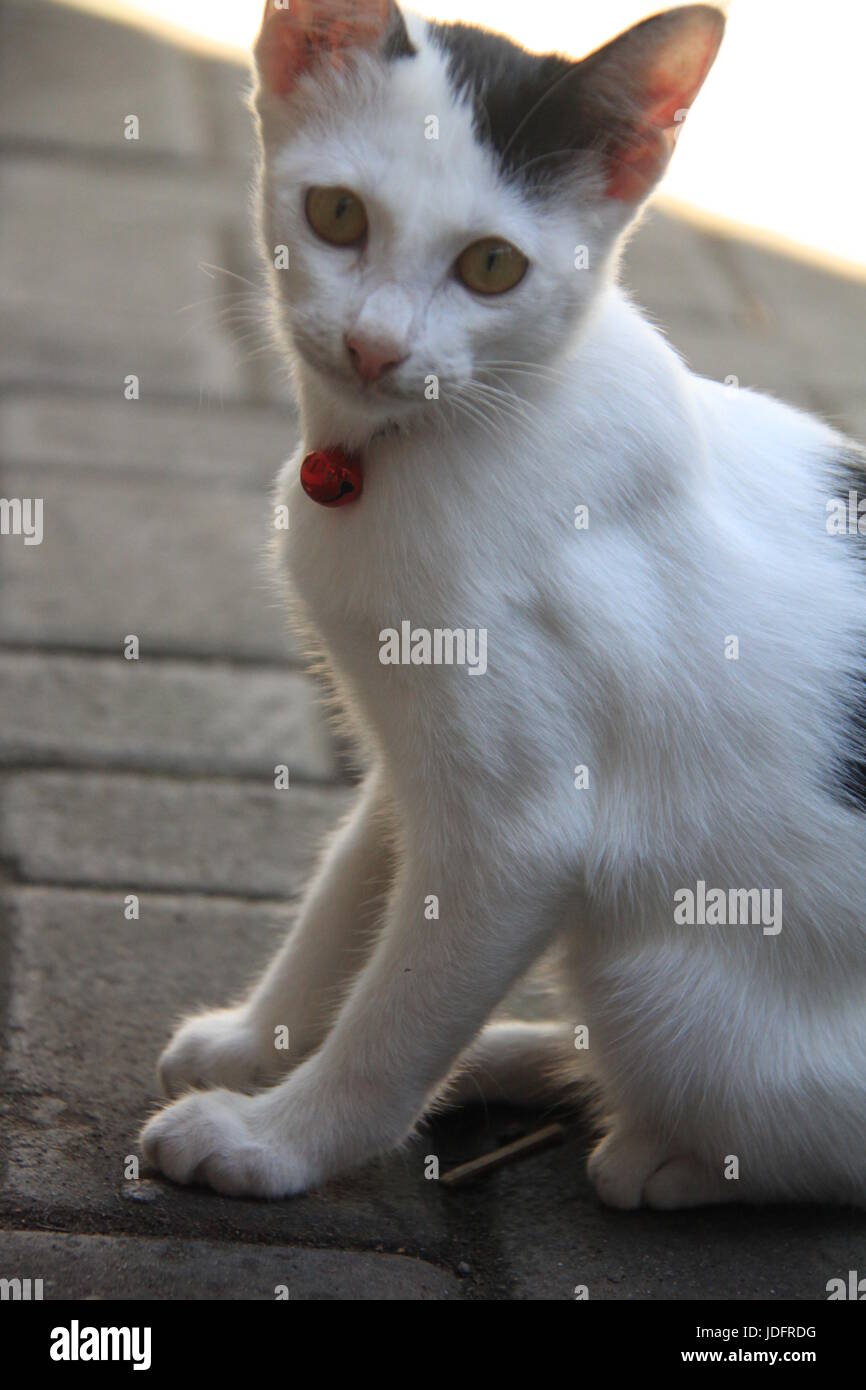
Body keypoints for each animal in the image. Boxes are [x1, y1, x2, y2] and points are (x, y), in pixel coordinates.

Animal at [140, 0, 866, 1212]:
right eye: (336, 214)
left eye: (491, 267)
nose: (375, 345)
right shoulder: (405, 752)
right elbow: (349, 890)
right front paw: (258, 1040)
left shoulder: (518, 832)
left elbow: (401, 1014)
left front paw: (279, 1139)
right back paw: (523, 1058)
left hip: (667, 985)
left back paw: (654, 1151)